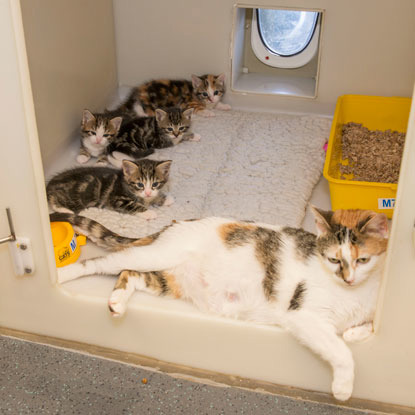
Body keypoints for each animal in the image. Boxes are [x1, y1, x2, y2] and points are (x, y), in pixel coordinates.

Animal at [58, 208, 390, 404]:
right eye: (334, 259)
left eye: (363, 260)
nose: (347, 278)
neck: (353, 294)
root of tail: (173, 224)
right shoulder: (303, 315)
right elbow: (342, 353)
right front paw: (343, 388)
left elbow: (364, 327)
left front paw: (354, 333)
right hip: (153, 255)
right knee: (104, 262)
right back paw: (61, 276)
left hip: (167, 279)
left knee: (130, 274)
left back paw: (117, 303)